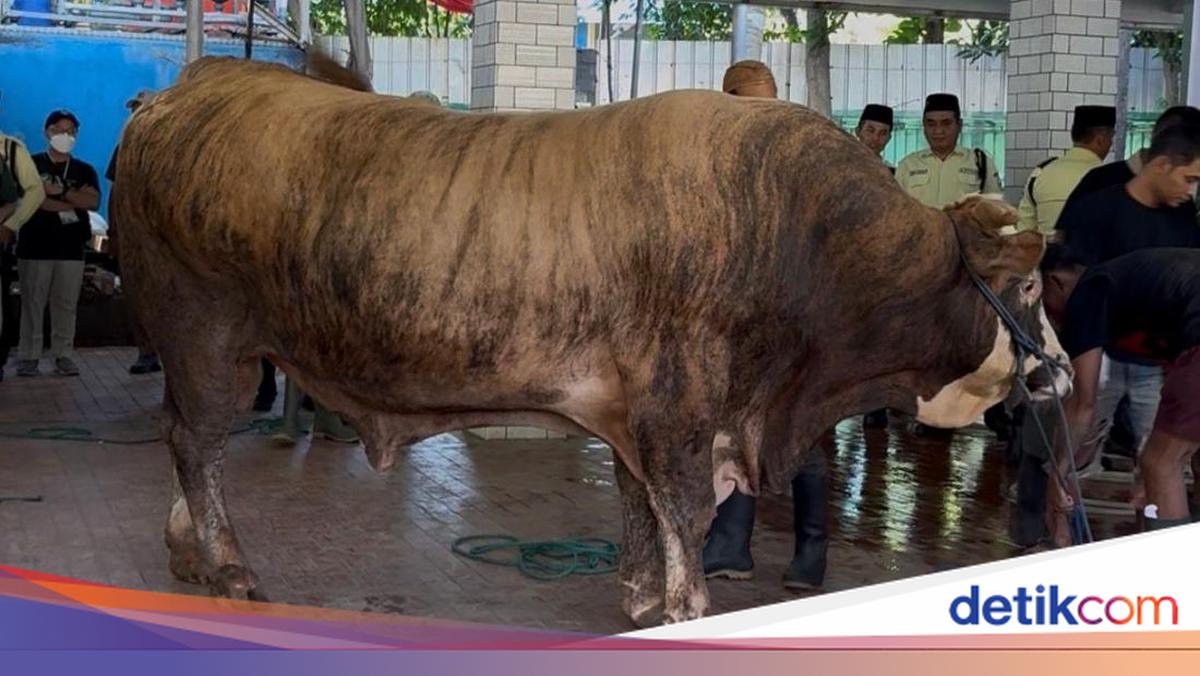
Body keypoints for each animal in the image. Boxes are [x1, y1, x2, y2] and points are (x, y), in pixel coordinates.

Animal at [112, 55, 1069, 627]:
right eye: (1027, 287)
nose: (1059, 371)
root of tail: (191, 83)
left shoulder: (638, 409)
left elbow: (639, 504)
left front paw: (643, 599)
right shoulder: (683, 409)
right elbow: (681, 509)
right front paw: (684, 607)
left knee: (184, 439)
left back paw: (187, 553)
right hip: (205, 334)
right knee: (197, 441)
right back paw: (228, 567)